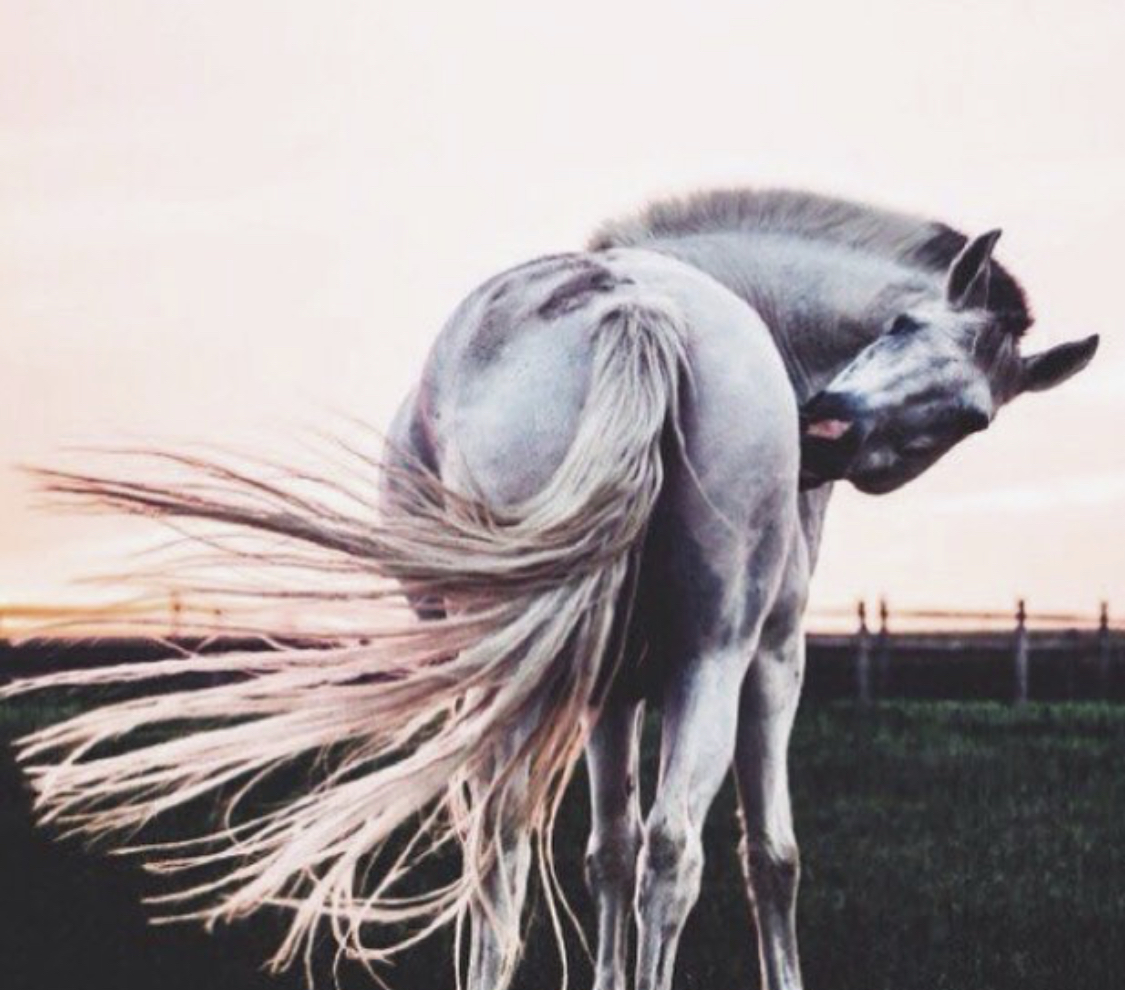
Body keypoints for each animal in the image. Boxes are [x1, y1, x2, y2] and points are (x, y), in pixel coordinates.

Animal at [4, 187, 1098, 990]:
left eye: (973, 416)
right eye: (902, 321)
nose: (826, 425)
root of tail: (631, 306)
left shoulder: (609, 687)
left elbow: (603, 852)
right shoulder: (772, 660)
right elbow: (768, 859)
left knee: (508, 850)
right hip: (711, 657)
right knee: (673, 854)